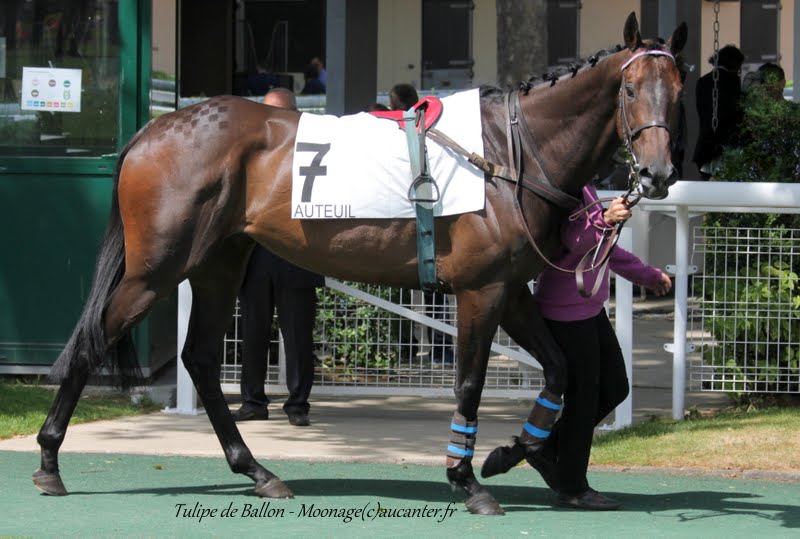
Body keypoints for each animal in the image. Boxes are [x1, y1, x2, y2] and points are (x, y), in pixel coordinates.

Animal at [34, 14, 684, 516]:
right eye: (630, 89)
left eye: (677, 90)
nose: (657, 175)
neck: (505, 153)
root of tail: (152, 129)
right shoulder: (480, 290)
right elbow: (470, 383)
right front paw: (468, 479)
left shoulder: (510, 288)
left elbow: (558, 371)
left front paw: (513, 454)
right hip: (156, 269)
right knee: (92, 341)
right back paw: (48, 461)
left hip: (218, 263)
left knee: (197, 358)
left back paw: (258, 471)